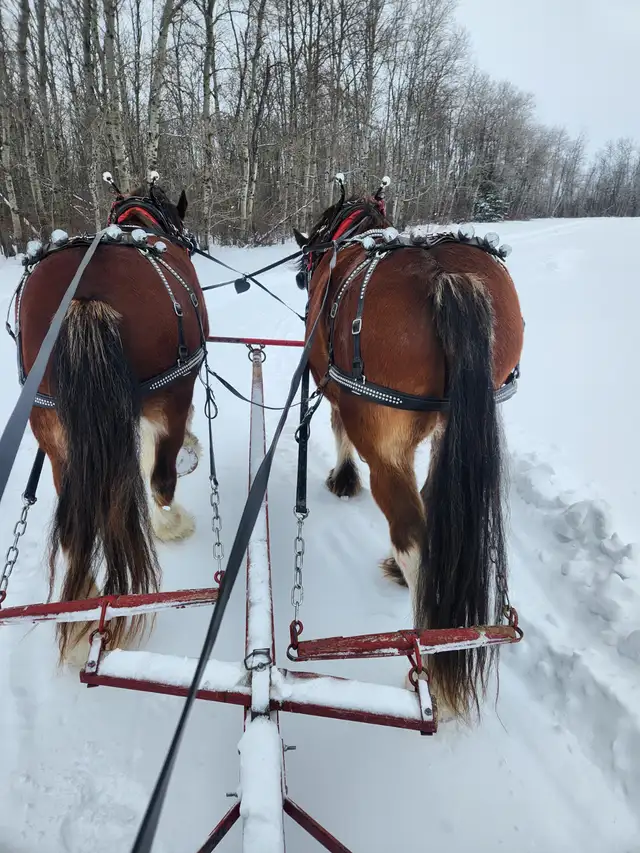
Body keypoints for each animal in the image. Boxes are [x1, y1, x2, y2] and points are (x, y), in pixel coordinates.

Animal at [15, 180, 209, 660]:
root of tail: (85, 296)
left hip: (50, 424)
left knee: (74, 523)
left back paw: (80, 611)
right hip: (168, 393)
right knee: (160, 481)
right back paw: (172, 523)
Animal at [293, 177, 524, 719]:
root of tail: (446, 279)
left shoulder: (338, 392)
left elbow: (335, 426)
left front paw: (342, 478)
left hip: (385, 443)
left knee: (412, 534)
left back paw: (429, 661)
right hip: (451, 427)